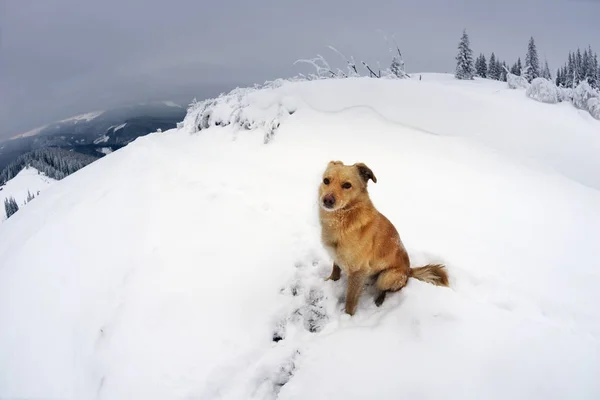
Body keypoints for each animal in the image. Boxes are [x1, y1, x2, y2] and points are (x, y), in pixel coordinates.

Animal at [316, 160, 448, 316]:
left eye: (347, 185)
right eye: (326, 181)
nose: (327, 200)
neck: (344, 218)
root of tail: (409, 270)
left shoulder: (358, 271)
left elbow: (350, 300)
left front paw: (347, 317)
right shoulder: (337, 256)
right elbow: (335, 270)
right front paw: (331, 281)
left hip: (386, 277)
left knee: (389, 289)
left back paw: (380, 299)